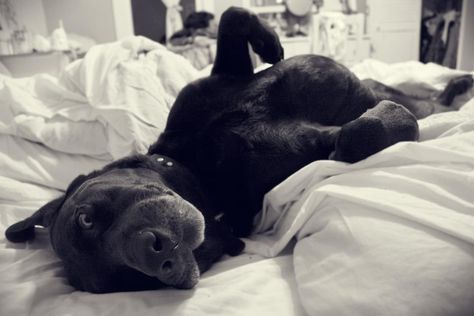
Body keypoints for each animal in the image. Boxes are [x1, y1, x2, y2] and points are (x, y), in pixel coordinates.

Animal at [3, 6, 470, 294]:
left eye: (85, 217)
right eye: (127, 283)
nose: (157, 259)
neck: (199, 164)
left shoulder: (218, 78)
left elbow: (233, 16)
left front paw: (271, 43)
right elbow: (359, 135)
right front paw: (383, 124)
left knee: (422, 95)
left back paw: (458, 85)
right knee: (419, 103)